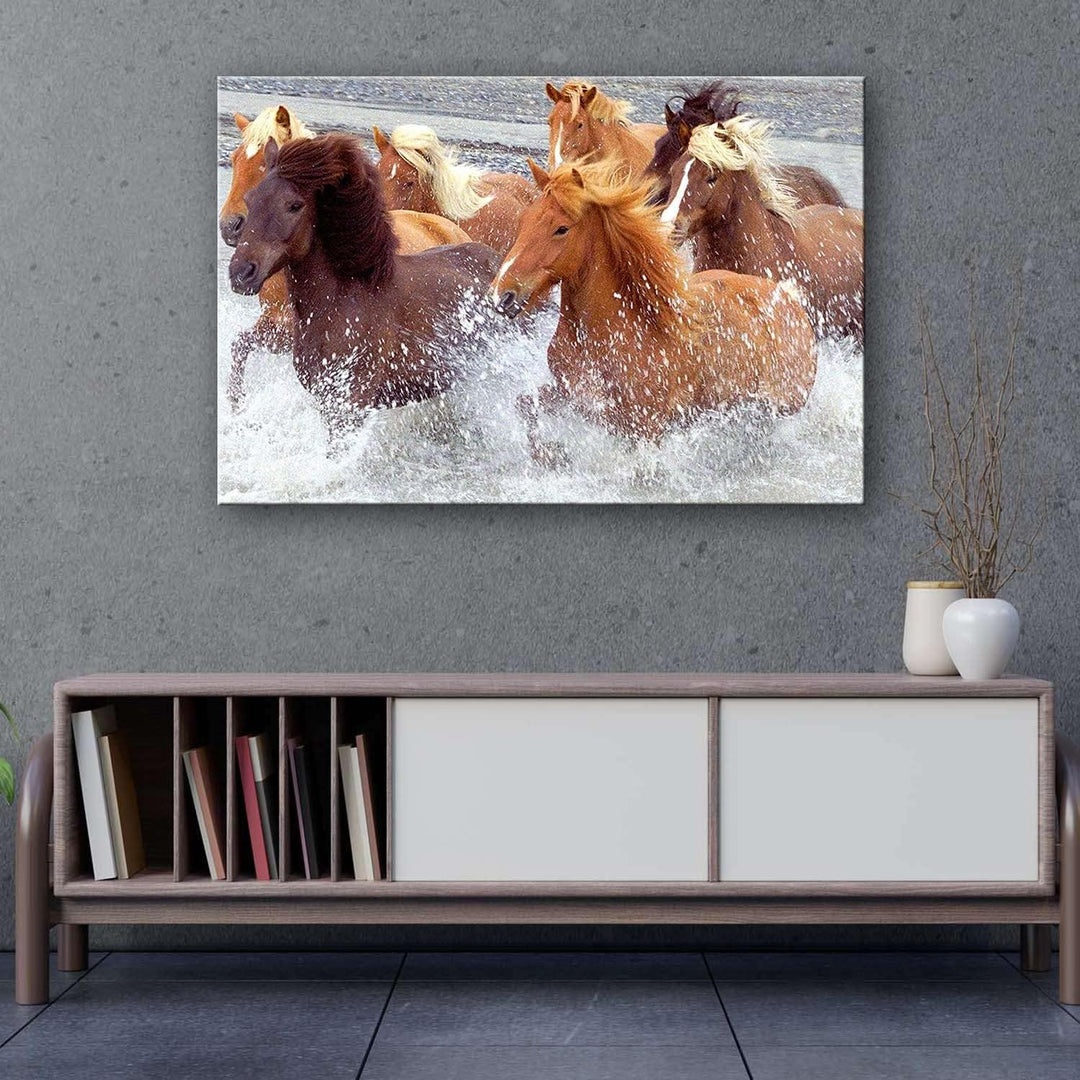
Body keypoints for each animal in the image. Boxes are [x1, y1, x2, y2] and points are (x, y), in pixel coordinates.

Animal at [490, 159, 817, 459]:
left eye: (561, 229)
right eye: (524, 220)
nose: (501, 296)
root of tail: (789, 297)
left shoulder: (644, 426)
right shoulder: (574, 396)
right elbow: (526, 405)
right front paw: (551, 455)